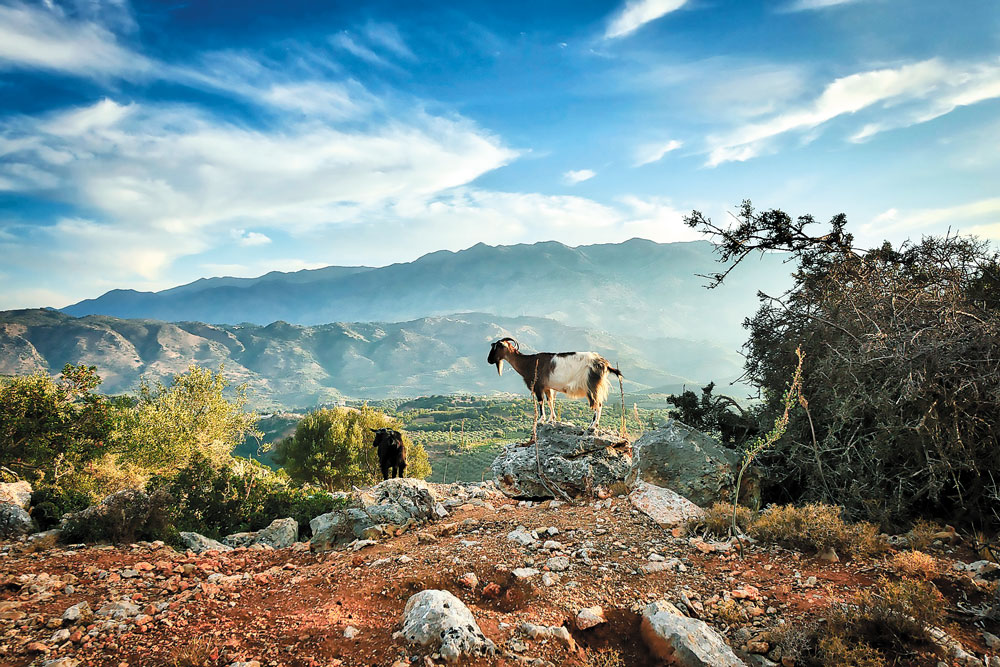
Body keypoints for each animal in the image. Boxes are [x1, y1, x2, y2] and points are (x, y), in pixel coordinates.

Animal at [486, 336, 620, 430]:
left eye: (497, 347)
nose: (489, 360)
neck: (529, 363)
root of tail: (604, 363)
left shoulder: (538, 385)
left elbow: (541, 401)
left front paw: (540, 420)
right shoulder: (547, 387)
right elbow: (550, 401)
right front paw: (551, 419)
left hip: (592, 385)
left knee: (597, 404)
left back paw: (592, 426)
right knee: (598, 404)